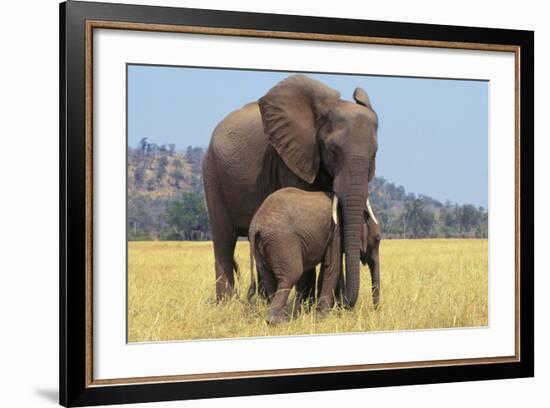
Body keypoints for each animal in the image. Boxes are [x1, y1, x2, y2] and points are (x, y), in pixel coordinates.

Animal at [203, 74, 380, 310]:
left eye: (374, 155)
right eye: (333, 151)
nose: (345, 304)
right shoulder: (290, 159)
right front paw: (306, 307)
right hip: (212, 173)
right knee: (224, 239)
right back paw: (227, 305)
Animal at [249, 188, 382, 326]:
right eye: (377, 239)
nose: (375, 309)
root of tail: (256, 226)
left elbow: (329, 269)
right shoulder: (336, 231)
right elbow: (333, 267)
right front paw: (322, 317)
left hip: (262, 246)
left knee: (268, 277)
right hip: (282, 242)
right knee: (291, 275)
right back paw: (278, 321)